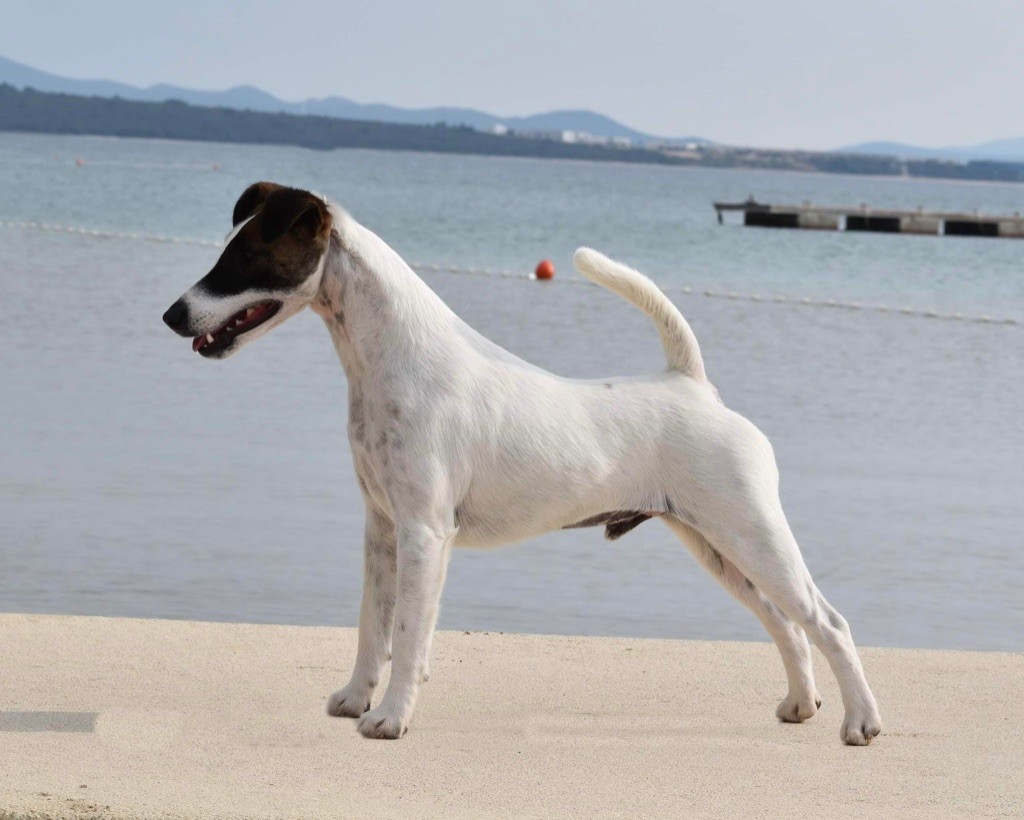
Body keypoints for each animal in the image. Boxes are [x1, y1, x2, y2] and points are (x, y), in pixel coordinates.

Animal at [163, 184, 884, 741]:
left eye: (246, 257)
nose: (172, 315)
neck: (393, 360)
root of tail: (693, 386)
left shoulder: (425, 533)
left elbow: (409, 636)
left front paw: (390, 718)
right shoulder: (382, 528)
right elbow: (374, 628)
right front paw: (354, 699)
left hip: (753, 537)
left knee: (828, 622)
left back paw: (861, 724)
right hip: (719, 548)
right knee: (786, 624)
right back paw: (800, 705)